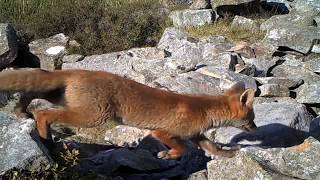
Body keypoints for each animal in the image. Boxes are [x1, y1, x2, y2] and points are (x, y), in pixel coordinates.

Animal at [0, 68, 256, 159]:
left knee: (30, 95)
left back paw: (20, 111)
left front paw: (230, 154)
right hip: (93, 116)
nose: (256, 129)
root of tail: (78, 71)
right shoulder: (162, 133)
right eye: (251, 118)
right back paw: (46, 140)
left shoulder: (196, 136)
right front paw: (167, 156)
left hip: (62, 98)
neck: (203, 110)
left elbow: (214, 148)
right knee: (43, 114)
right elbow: (180, 150)